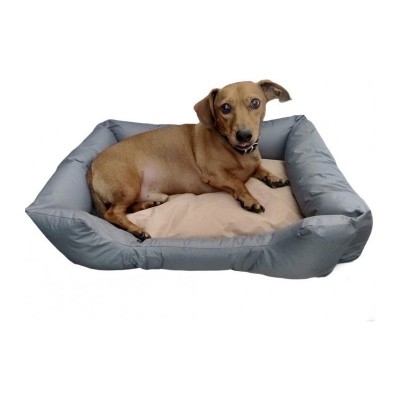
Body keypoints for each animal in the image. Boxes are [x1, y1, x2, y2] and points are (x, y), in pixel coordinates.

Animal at [87, 80, 291, 241]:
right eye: (225, 107)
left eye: (256, 103)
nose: (244, 136)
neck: (238, 152)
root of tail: (92, 166)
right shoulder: (215, 175)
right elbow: (238, 182)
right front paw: (250, 199)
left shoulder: (252, 164)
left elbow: (259, 168)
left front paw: (273, 177)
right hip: (128, 187)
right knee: (113, 213)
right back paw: (137, 230)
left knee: (127, 209)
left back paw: (148, 204)